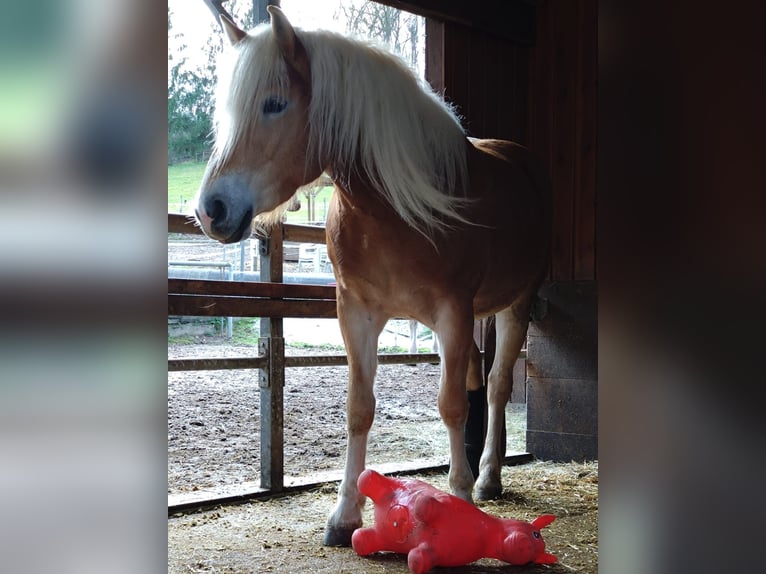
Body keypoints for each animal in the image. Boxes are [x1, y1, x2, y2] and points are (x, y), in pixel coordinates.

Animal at [192, 7, 552, 548]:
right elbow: (360, 407)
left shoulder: (452, 312)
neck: (395, 209)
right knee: (476, 378)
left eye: (274, 104)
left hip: (515, 305)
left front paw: (461, 504)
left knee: (494, 386)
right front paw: (344, 515)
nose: (210, 210)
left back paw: (487, 477)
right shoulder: (357, 312)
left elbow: (450, 405)